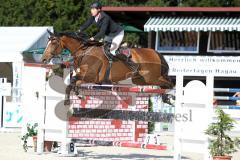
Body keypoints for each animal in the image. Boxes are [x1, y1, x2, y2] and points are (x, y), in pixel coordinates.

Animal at [41, 30, 172, 105]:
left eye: (54, 42)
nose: (43, 59)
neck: (85, 51)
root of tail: (155, 52)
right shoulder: (83, 76)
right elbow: (73, 83)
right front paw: (76, 96)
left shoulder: (91, 77)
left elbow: (73, 81)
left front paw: (74, 97)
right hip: (141, 80)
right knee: (163, 84)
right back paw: (167, 98)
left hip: (151, 77)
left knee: (169, 83)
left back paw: (170, 97)